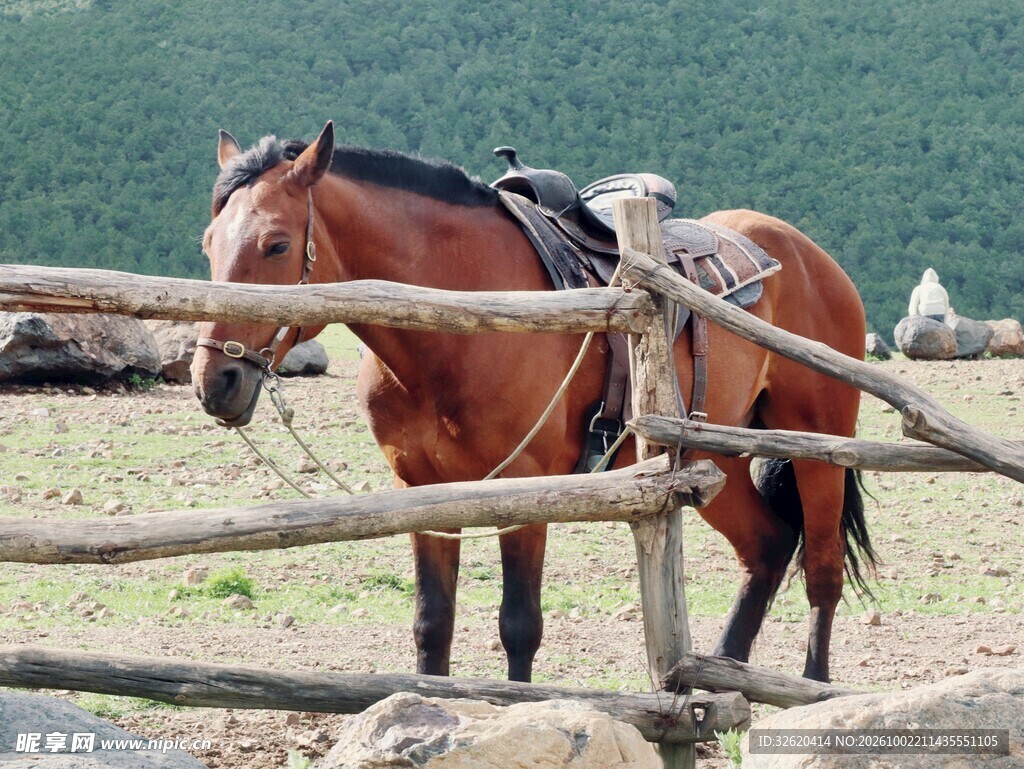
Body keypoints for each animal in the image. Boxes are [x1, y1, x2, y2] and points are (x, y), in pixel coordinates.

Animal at [192, 121, 874, 684]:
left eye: (278, 245)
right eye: (208, 244)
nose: (214, 379)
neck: (456, 325)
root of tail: (810, 257)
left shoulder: (527, 488)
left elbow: (518, 625)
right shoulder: (422, 490)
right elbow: (432, 623)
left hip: (819, 447)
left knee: (821, 568)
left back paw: (812, 688)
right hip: (713, 454)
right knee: (767, 546)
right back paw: (722, 678)